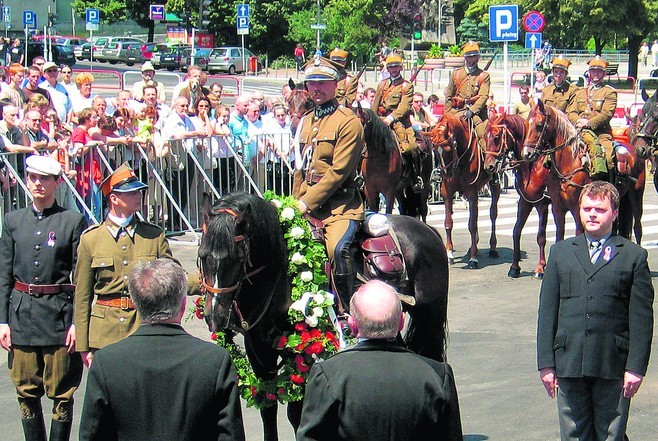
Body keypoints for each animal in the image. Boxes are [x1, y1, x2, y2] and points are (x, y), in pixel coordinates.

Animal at [197, 191, 448, 438]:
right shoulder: (257, 347)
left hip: (431, 318)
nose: (215, 316)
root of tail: (426, 229)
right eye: (202, 254)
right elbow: (268, 407)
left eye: (238, 258)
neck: (278, 267)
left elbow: (296, 411)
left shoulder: (298, 346)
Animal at [428, 111, 500, 266]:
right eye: (435, 151)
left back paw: (492, 248)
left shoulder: (472, 192)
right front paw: (449, 252)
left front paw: (473, 258)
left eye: (448, 149)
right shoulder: (447, 193)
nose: (446, 174)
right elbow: (448, 222)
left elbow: (472, 225)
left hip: (494, 186)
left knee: (493, 214)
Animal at [480, 112, 552, 278]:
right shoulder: (525, 202)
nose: (489, 166)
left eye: (497, 137)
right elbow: (516, 231)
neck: (532, 165)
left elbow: (541, 236)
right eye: (485, 137)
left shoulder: (542, 204)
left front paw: (540, 268)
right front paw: (514, 267)